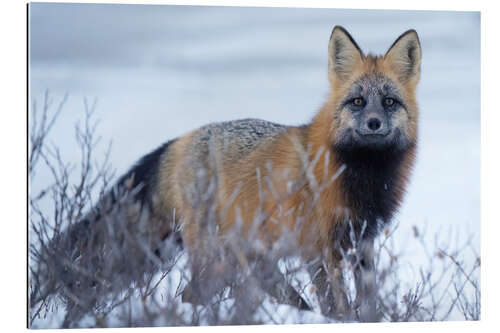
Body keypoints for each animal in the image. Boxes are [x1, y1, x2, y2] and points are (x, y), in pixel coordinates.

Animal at [50, 26, 420, 322]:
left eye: (389, 102)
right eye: (357, 101)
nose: (374, 123)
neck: (358, 177)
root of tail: (180, 140)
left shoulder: (363, 243)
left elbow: (368, 304)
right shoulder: (318, 249)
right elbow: (336, 306)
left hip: (250, 261)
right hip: (216, 261)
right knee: (190, 296)